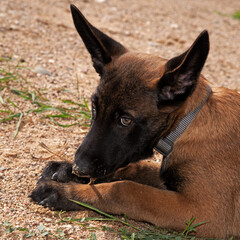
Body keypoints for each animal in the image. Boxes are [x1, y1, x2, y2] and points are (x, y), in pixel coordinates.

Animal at [30, 4, 240, 238]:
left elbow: (126, 189)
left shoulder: (205, 211)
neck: (188, 123)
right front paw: (65, 170)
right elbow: (136, 169)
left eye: (125, 120)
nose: (79, 168)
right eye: (94, 108)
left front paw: (62, 191)